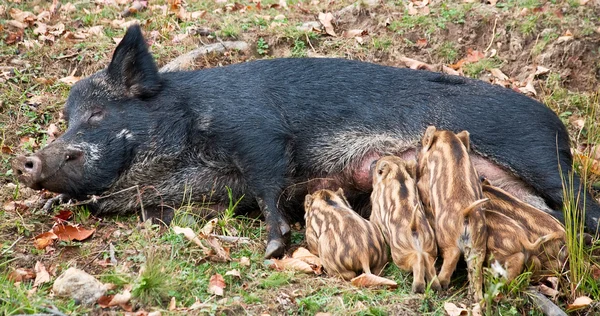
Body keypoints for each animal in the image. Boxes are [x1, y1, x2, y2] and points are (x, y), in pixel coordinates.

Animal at [14, 24, 600, 256]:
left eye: (95, 113)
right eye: (66, 117)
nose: (27, 162)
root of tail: (558, 125)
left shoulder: (257, 131)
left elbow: (270, 185)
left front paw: (274, 247)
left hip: (539, 157)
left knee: (582, 206)